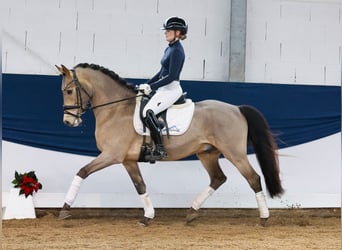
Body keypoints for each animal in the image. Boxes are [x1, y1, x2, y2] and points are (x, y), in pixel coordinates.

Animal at [54, 63, 284, 227]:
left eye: (68, 91)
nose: (68, 122)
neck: (116, 110)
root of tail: (236, 109)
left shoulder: (112, 155)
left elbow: (82, 172)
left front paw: (65, 209)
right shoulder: (128, 160)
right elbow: (140, 186)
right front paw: (147, 216)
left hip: (234, 153)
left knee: (253, 178)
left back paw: (263, 218)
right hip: (207, 153)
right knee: (218, 178)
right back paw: (192, 212)